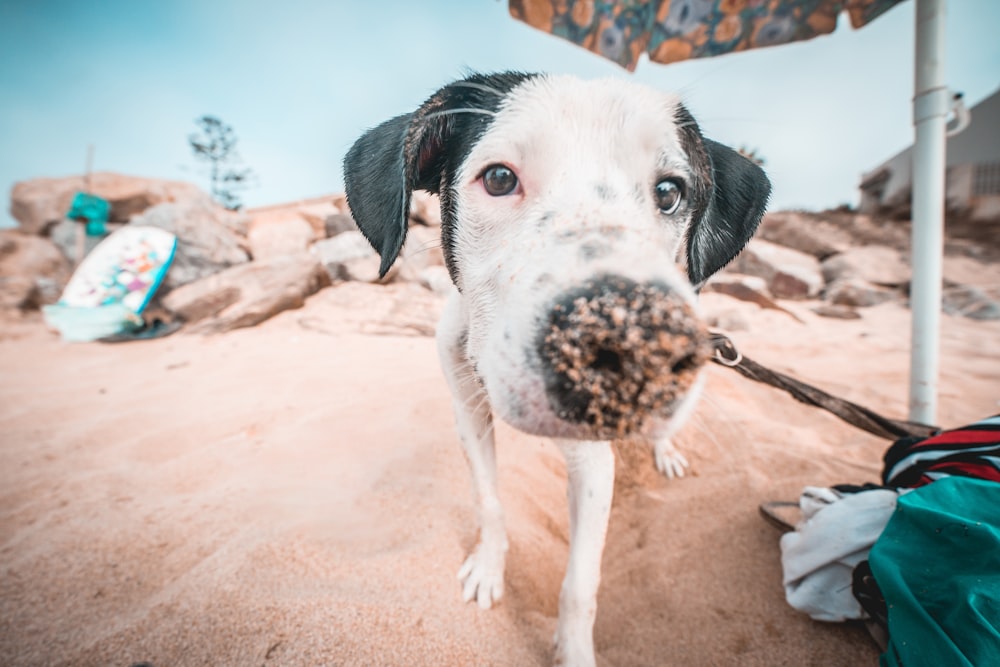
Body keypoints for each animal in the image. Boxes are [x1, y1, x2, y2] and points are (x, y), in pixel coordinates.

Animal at [348, 73, 768, 667]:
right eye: (499, 178)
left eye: (669, 192)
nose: (630, 341)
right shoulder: (468, 414)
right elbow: (490, 502)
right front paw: (488, 569)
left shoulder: (592, 466)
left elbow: (579, 586)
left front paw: (572, 650)